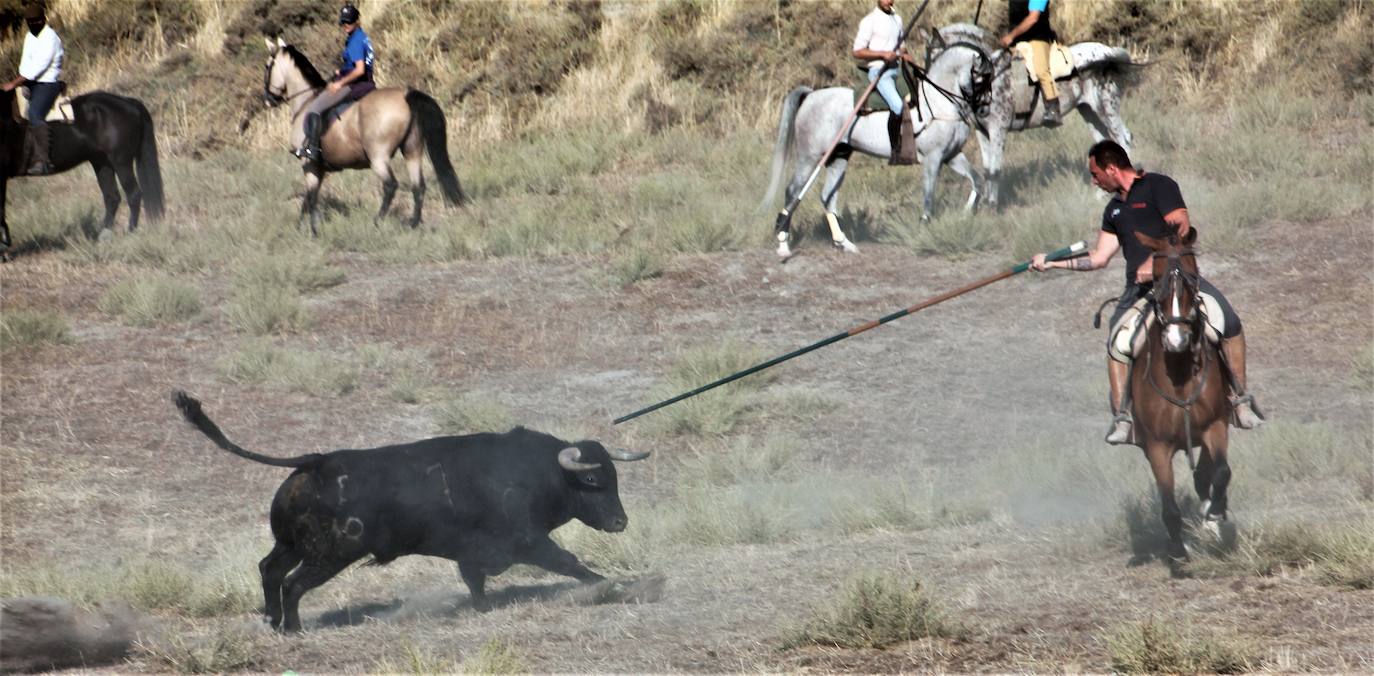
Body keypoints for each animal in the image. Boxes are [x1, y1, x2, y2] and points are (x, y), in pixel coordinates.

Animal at [171, 387, 648, 632]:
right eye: (593, 481)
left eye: (614, 477)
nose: (621, 521)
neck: (537, 472)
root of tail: (316, 463)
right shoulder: (526, 540)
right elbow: (568, 561)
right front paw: (611, 585)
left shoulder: (474, 553)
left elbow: (475, 582)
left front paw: (482, 608)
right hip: (330, 553)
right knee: (292, 584)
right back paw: (293, 628)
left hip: (291, 544)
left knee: (270, 570)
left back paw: (273, 622)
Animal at [261, 38, 467, 237]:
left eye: (268, 66)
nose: (267, 100)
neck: (305, 103)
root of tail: (406, 94)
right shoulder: (319, 168)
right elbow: (309, 198)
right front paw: (302, 229)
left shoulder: (309, 164)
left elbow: (310, 198)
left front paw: (311, 232)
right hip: (412, 151)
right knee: (418, 187)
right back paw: (413, 225)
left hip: (378, 157)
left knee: (391, 186)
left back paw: (377, 222)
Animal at [758, 42, 994, 256]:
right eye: (981, 76)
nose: (985, 109)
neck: (938, 103)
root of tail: (811, 96)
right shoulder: (932, 159)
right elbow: (928, 198)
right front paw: (925, 231)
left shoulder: (952, 156)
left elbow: (978, 181)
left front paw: (964, 216)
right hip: (810, 157)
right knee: (793, 192)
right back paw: (783, 244)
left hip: (838, 157)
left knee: (827, 197)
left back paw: (844, 243)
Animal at [928, 23, 1143, 208]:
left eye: (938, 59)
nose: (932, 89)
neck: (989, 78)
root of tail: (1108, 52)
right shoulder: (983, 133)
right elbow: (987, 170)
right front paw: (977, 207)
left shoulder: (998, 130)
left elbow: (995, 170)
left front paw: (992, 207)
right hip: (1089, 112)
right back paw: (1100, 195)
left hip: (1105, 107)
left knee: (1124, 138)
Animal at [1126, 229, 1236, 574]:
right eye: (1158, 284)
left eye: (1190, 282)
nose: (1177, 340)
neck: (1179, 371)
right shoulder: (1157, 446)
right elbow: (1170, 505)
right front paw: (1177, 553)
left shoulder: (1215, 426)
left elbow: (1221, 472)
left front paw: (1215, 516)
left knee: (1205, 475)